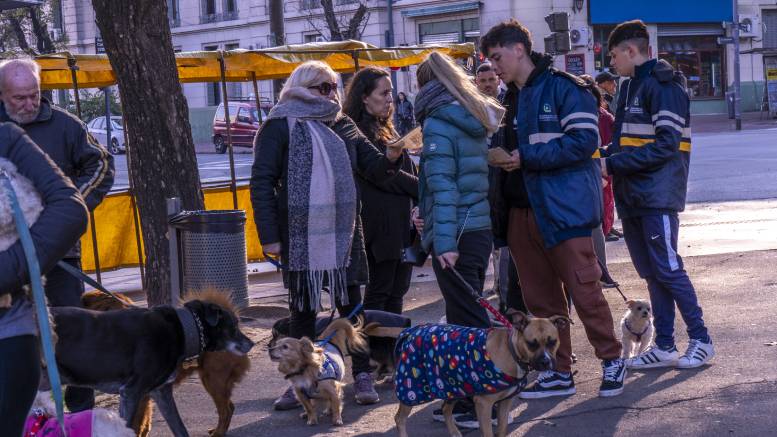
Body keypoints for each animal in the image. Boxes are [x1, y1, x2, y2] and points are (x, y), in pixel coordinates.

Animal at [49, 294, 255, 434]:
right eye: (234, 325)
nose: (251, 343)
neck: (184, 328)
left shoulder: (157, 393)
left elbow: (179, 428)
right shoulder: (133, 392)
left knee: (227, 408)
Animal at [392, 310, 568, 436]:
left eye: (553, 342)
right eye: (531, 344)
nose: (546, 362)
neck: (511, 351)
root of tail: (411, 332)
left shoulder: (505, 403)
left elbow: (502, 430)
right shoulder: (484, 405)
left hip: (452, 385)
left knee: (446, 409)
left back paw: (455, 433)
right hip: (411, 391)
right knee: (399, 419)